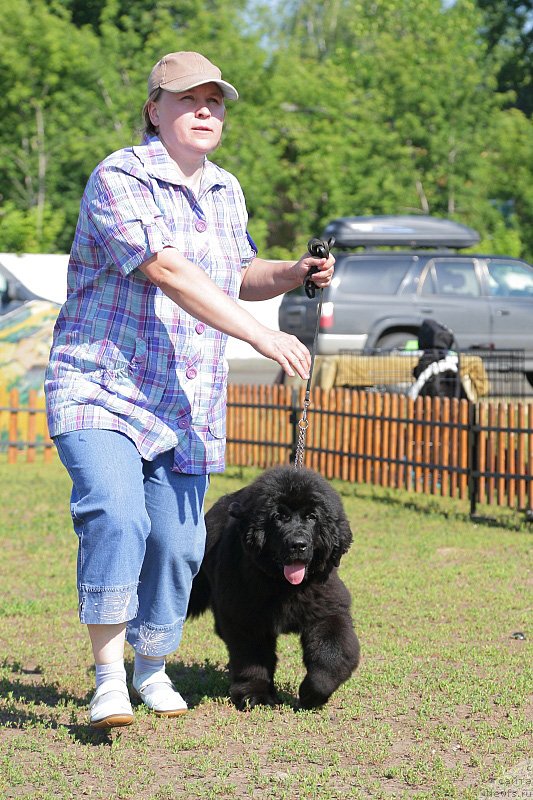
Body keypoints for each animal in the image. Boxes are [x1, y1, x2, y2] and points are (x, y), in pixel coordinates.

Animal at [186, 466, 358, 708]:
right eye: (279, 517)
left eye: (312, 517)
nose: (298, 545)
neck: (285, 587)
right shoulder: (246, 619)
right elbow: (252, 659)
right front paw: (255, 694)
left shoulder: (327, 609)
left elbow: (332, 654)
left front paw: (312, 693)